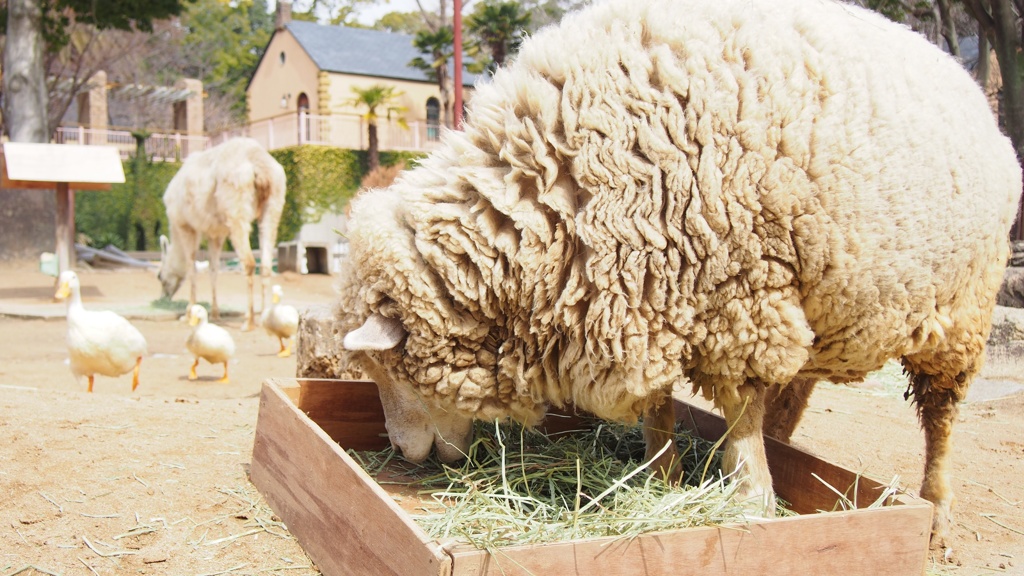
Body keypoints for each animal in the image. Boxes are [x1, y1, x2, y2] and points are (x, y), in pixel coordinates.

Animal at [159, 136, 288, 330]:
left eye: (159, 276)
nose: (163, 296)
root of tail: (259, 163)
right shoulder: (216, 233)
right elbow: (213, 270)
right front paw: (215, 313)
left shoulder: (186, 226)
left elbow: (191, 268)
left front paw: (188, 314)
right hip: (273, 205)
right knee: (265, 265)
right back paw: (264, 317)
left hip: (236, 207)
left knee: (249, 262)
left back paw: (248, 321)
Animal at [337, 0, 1024, 545]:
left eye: (386, 367)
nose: (401, 452)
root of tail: (963, 80)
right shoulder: (640, 291)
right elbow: (660, 404)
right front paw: (662, 474)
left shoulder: (738, 298)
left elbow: (738, 406)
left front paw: (746, 498)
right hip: (823, 300)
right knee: (797, 387)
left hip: (962, 311)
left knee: (940, 419)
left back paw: (936, 515)